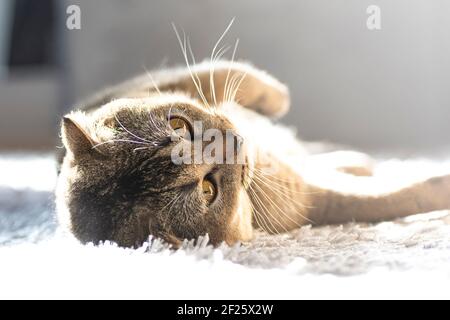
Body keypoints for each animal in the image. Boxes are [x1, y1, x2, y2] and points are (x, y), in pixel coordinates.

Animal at [56, 60, 450, 250]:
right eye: (208, 190)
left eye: (180, 124)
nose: (235, 140)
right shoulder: (309, 201)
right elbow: (395, 197)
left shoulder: (149, 83)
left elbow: (220, 73)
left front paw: (276, 97)